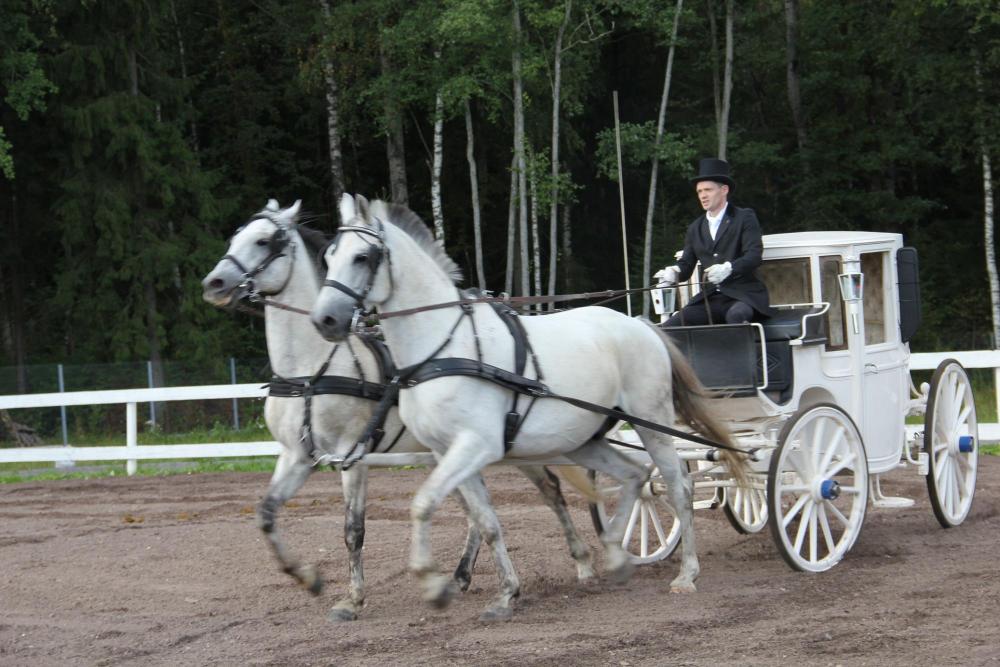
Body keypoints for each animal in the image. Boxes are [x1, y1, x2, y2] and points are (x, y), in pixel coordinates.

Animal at [201, 199, 597, 622]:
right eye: (234, 237)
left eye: (262, 241)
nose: (215, 284)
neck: (310, 369)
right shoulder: (297, 456)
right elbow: (266, 514)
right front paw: (307, 577)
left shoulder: (351, 456)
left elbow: (353, 530)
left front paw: (353, 600)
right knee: (477, 514)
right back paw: (461, 576)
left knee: (551, 491)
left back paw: (583, 563)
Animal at [310, 194, 751, 621]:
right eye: (329, 255)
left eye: (362, 257)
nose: (324, 320)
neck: (442, 347)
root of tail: (640, 324)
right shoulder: (447, 451)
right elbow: (486, 522)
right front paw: (506, 593)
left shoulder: (475, 446)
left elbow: (423, 504)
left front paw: (433, 585)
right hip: (585, 439)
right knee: (636, 475)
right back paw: (614, 555)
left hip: (652, 422)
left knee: (677, 485)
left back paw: (686, 573)